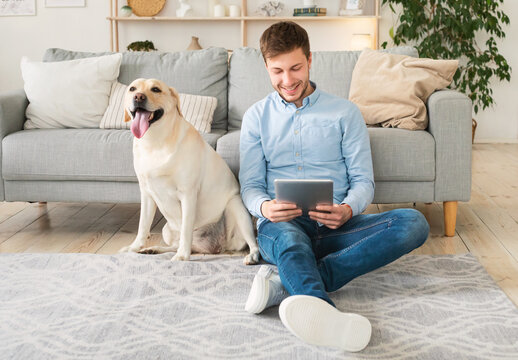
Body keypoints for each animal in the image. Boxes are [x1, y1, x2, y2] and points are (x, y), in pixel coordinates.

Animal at [120, 79, 262, 264]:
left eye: (156, 89)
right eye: (132, 89)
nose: (138, 97)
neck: (155, 142)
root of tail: (216, 246)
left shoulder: (187, 194)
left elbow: (186, 228)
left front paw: (182, 256)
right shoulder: (147, 194)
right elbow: (143, 226)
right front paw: (134, 247)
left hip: (236, 206)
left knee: (253, 243)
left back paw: (252, 256)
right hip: (167, 230)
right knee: (177, 244)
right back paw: (154, 249)